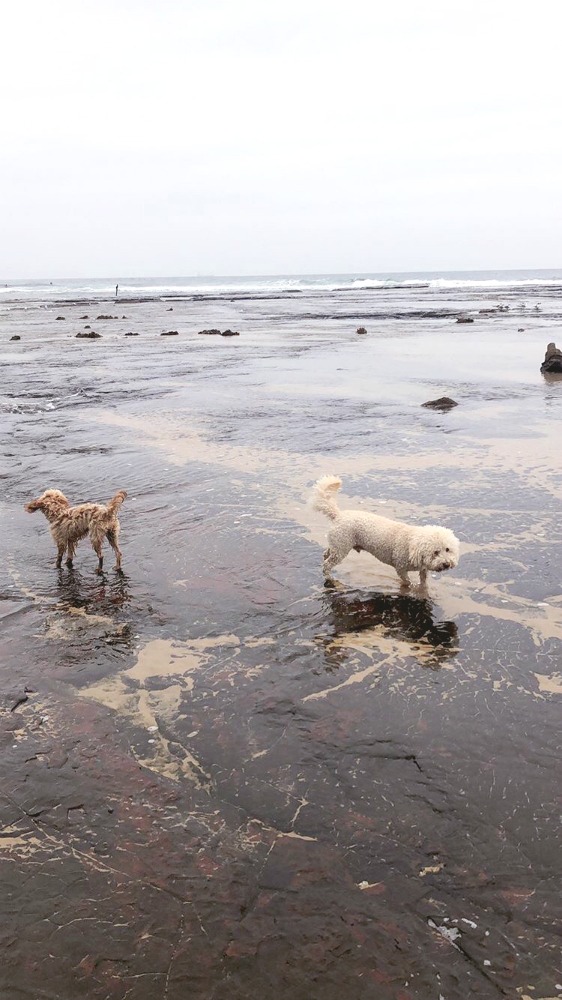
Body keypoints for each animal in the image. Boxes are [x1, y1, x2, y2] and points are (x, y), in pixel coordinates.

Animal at [310, 476, 460, 584]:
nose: (447, 564)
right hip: (341, 547)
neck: (412, 544)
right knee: (327, 564)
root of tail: (338, 515)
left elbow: (423, 582)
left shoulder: (423, 569)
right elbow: (407, 582)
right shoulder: (401, 568)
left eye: (447, 549)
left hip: (337, 544)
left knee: (326, 553)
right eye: (435, 552)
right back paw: (329, 577)